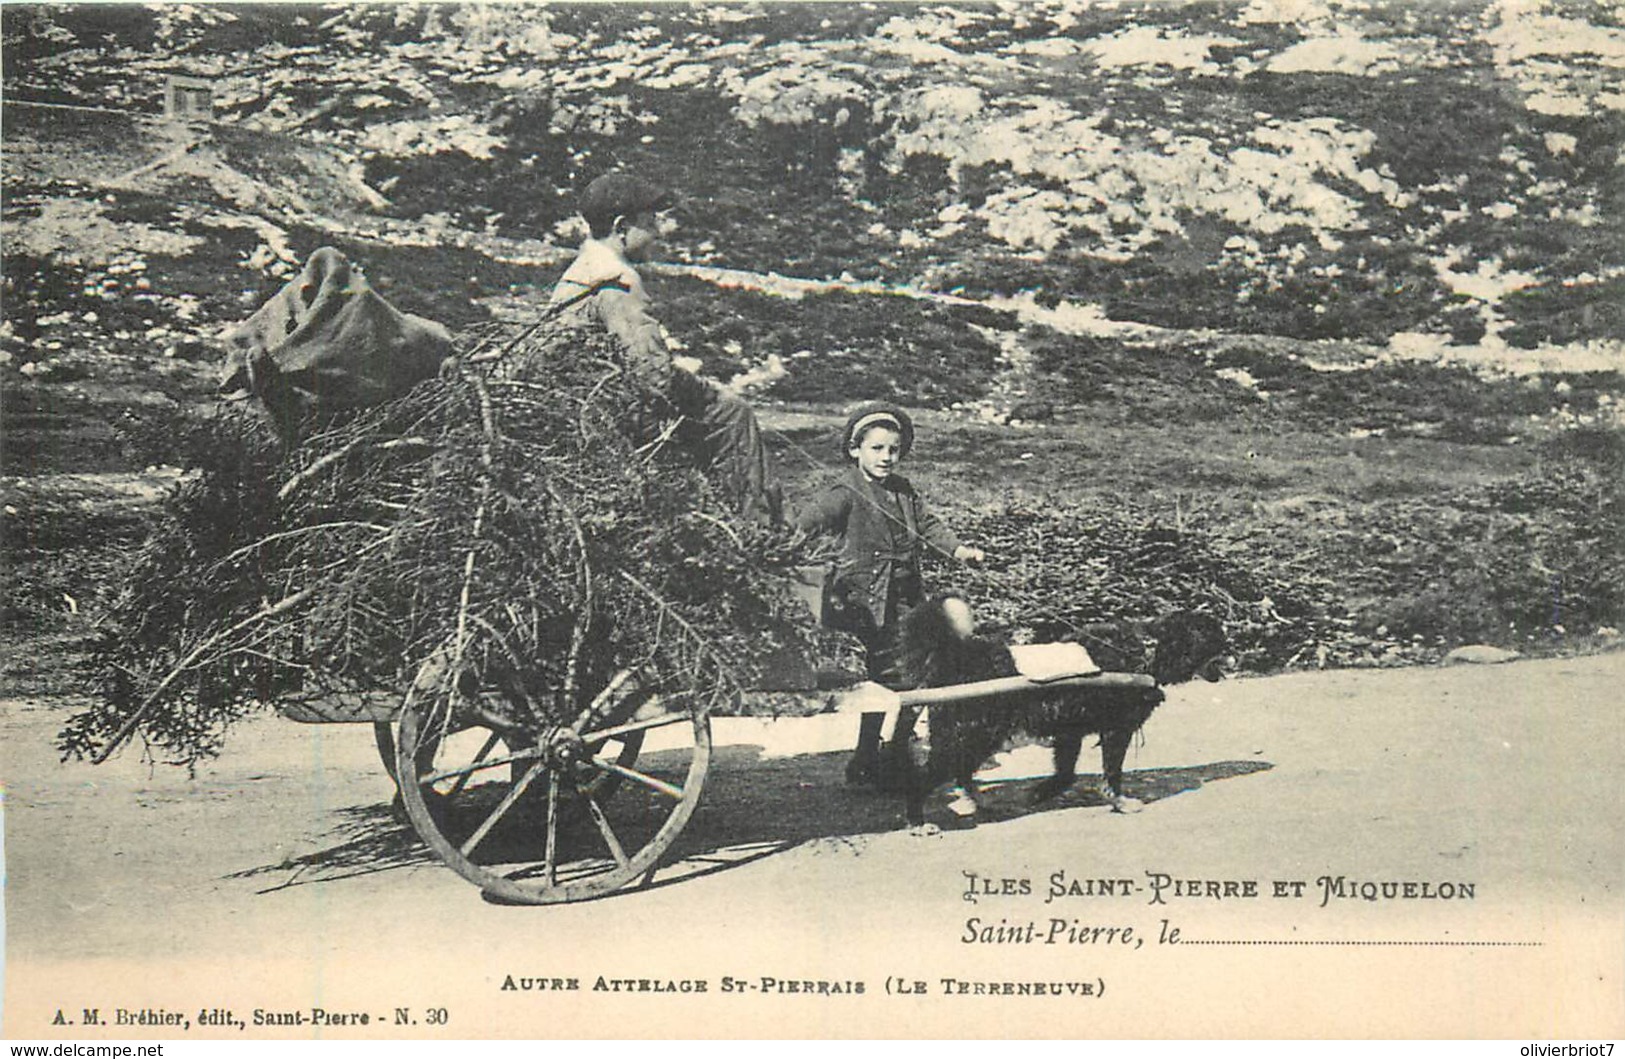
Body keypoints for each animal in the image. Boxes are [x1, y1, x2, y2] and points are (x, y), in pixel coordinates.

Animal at [897, 594, 1222, 828]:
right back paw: (918, 819)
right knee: (926, 778)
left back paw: (978, 801)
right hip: (969, 735)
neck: (1146, 649)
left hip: (973, 735)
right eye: (1219, 640)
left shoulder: (1070, 730)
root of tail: (958, 656)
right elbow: (1112, 772)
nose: (1229, 659)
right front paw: (1119, 801)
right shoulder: (1116, 729)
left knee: (962, 772)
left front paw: (1041, 792)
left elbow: (1066, 773)